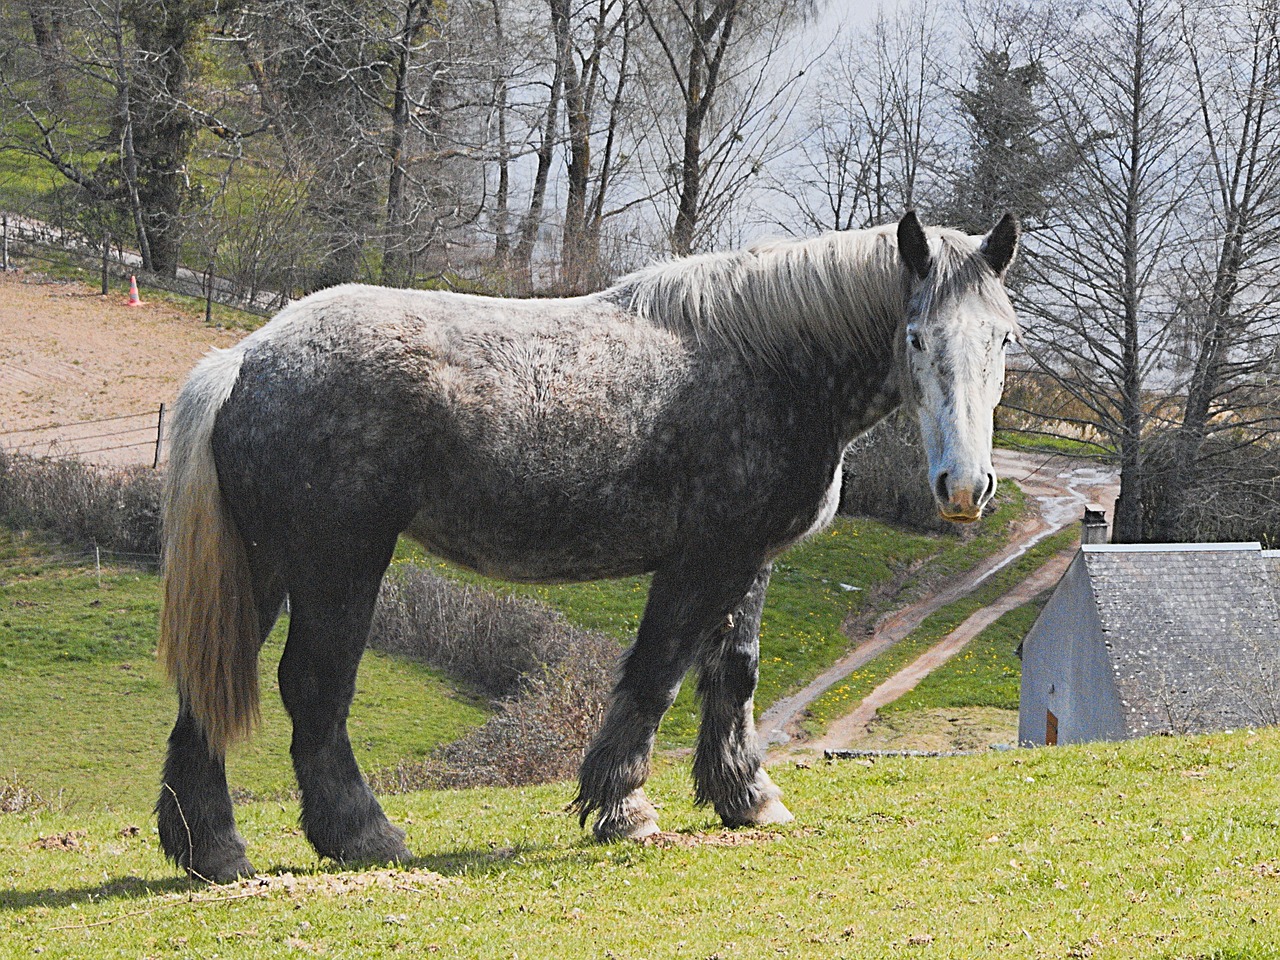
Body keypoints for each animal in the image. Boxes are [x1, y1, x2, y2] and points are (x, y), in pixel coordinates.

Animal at [157, 213, 1018, 885]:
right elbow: (657, 675)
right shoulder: (703, 562)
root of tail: (246, 359)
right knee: (313, 689)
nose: (965, 488)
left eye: (1004, 338)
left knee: (212, 685)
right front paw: (624, 807)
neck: (770, 362)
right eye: (916, 337)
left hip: (267, 566)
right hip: (340, 565)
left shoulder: (751, 561)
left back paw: (214, 851)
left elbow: (734, 677)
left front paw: (746, 797)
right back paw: (363, 835)